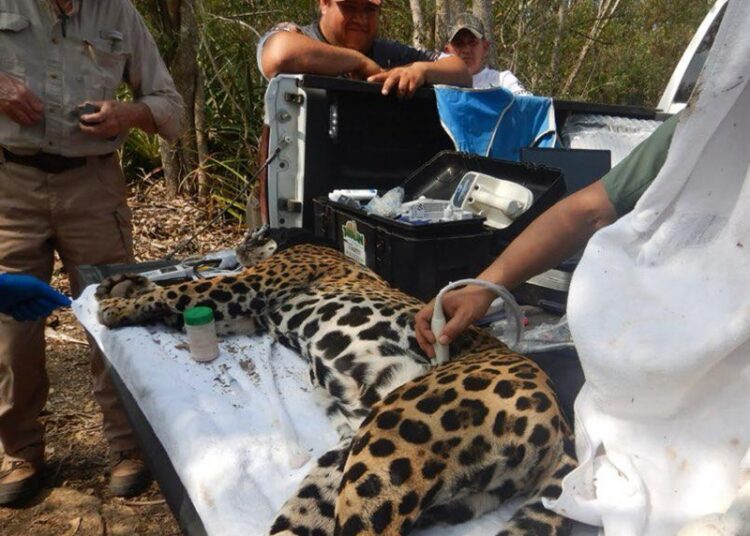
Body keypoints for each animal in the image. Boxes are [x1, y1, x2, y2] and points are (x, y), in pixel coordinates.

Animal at [95, 226, 576, 535]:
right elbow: (176, 296)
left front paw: (117, 306)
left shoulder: (247, 288)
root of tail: (563, 424)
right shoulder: (246, 316)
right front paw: (121, 284)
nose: (239, 244)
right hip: (354, 472)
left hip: (391, 443)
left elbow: (181, 290)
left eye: (258, 234)